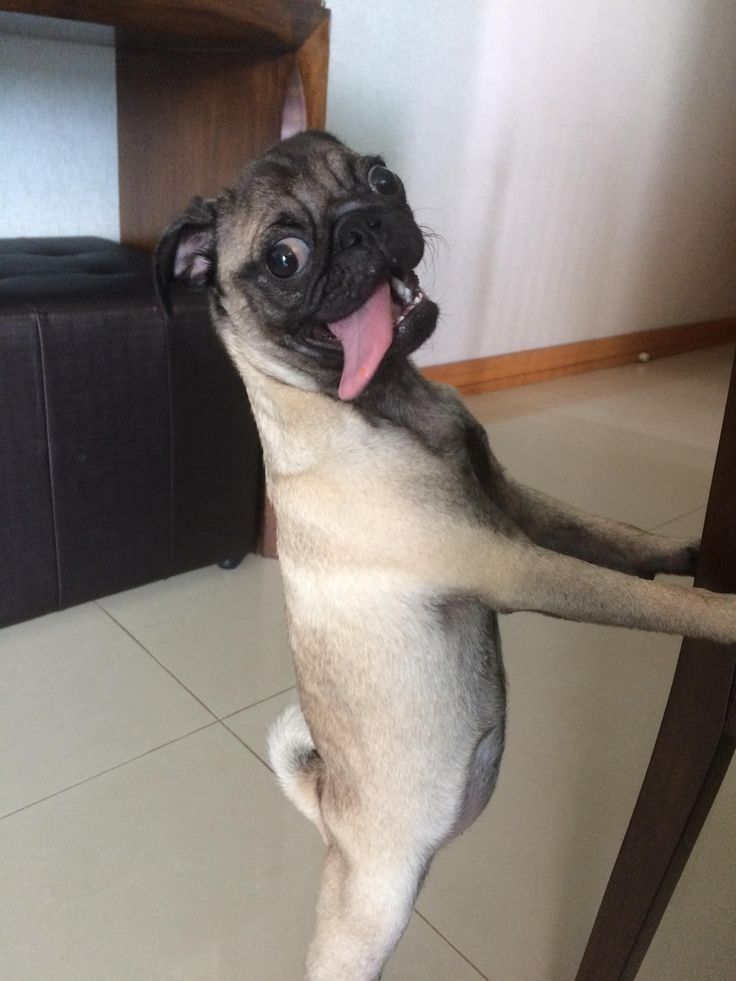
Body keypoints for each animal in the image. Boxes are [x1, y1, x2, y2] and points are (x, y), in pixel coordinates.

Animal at [155, 132, 736, 980]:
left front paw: (687, 547)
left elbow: (615, 537)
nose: (362, 223)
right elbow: (651, 601)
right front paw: (725, 608)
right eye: (285, 260)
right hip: (369, 920)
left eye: (382, 179)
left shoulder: (513, 506)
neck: (387, 401)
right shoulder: (514, 562)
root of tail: (326, 806)